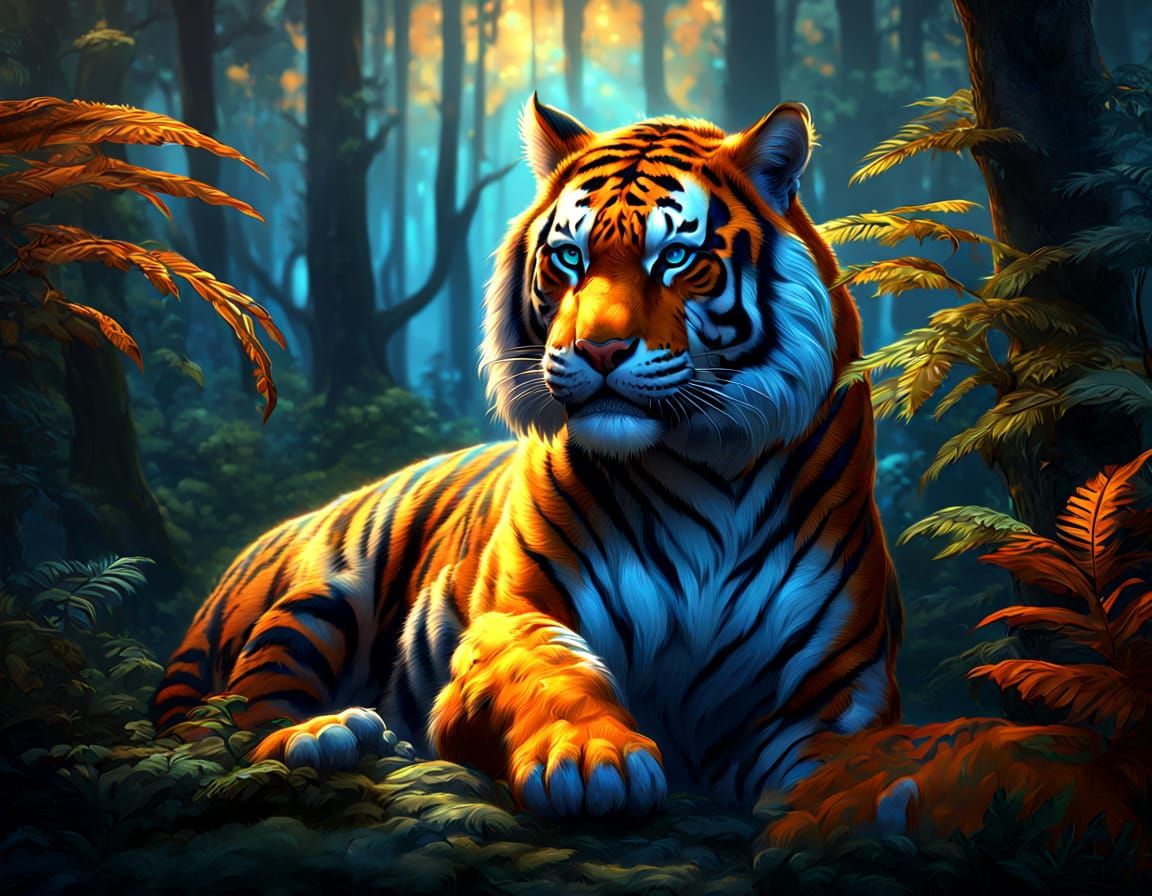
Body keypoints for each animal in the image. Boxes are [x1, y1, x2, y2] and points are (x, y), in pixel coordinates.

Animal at [154, 95, 902, 817]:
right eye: (570, 257)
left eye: (674, 259)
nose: (599, 349)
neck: (703, 471)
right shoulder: (509, 617)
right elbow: (551, 665)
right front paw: (592, 754)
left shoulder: (836, 686)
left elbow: (845, 760)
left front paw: (869, 798)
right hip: (316, 603)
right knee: (233, 723)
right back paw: (333, 733)